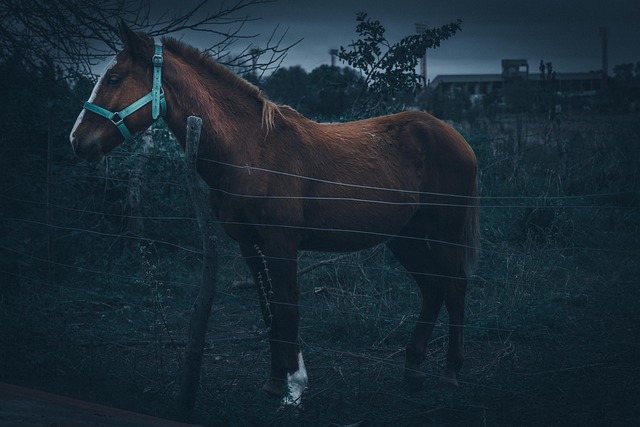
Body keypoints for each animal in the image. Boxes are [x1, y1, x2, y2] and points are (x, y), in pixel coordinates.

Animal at [69, 21, 480, 406]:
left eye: (115, 78)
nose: (77, 141)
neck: (252, 149)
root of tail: (454, 136)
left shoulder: (281, 244)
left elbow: (287, 309)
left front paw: (293, 387)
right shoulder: (250, 245)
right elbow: (269, 312)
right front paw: (274, 381)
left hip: (443, 231)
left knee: (454, 286)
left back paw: (449, 374)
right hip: (405, 237)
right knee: (433, 287)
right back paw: (413, 373)